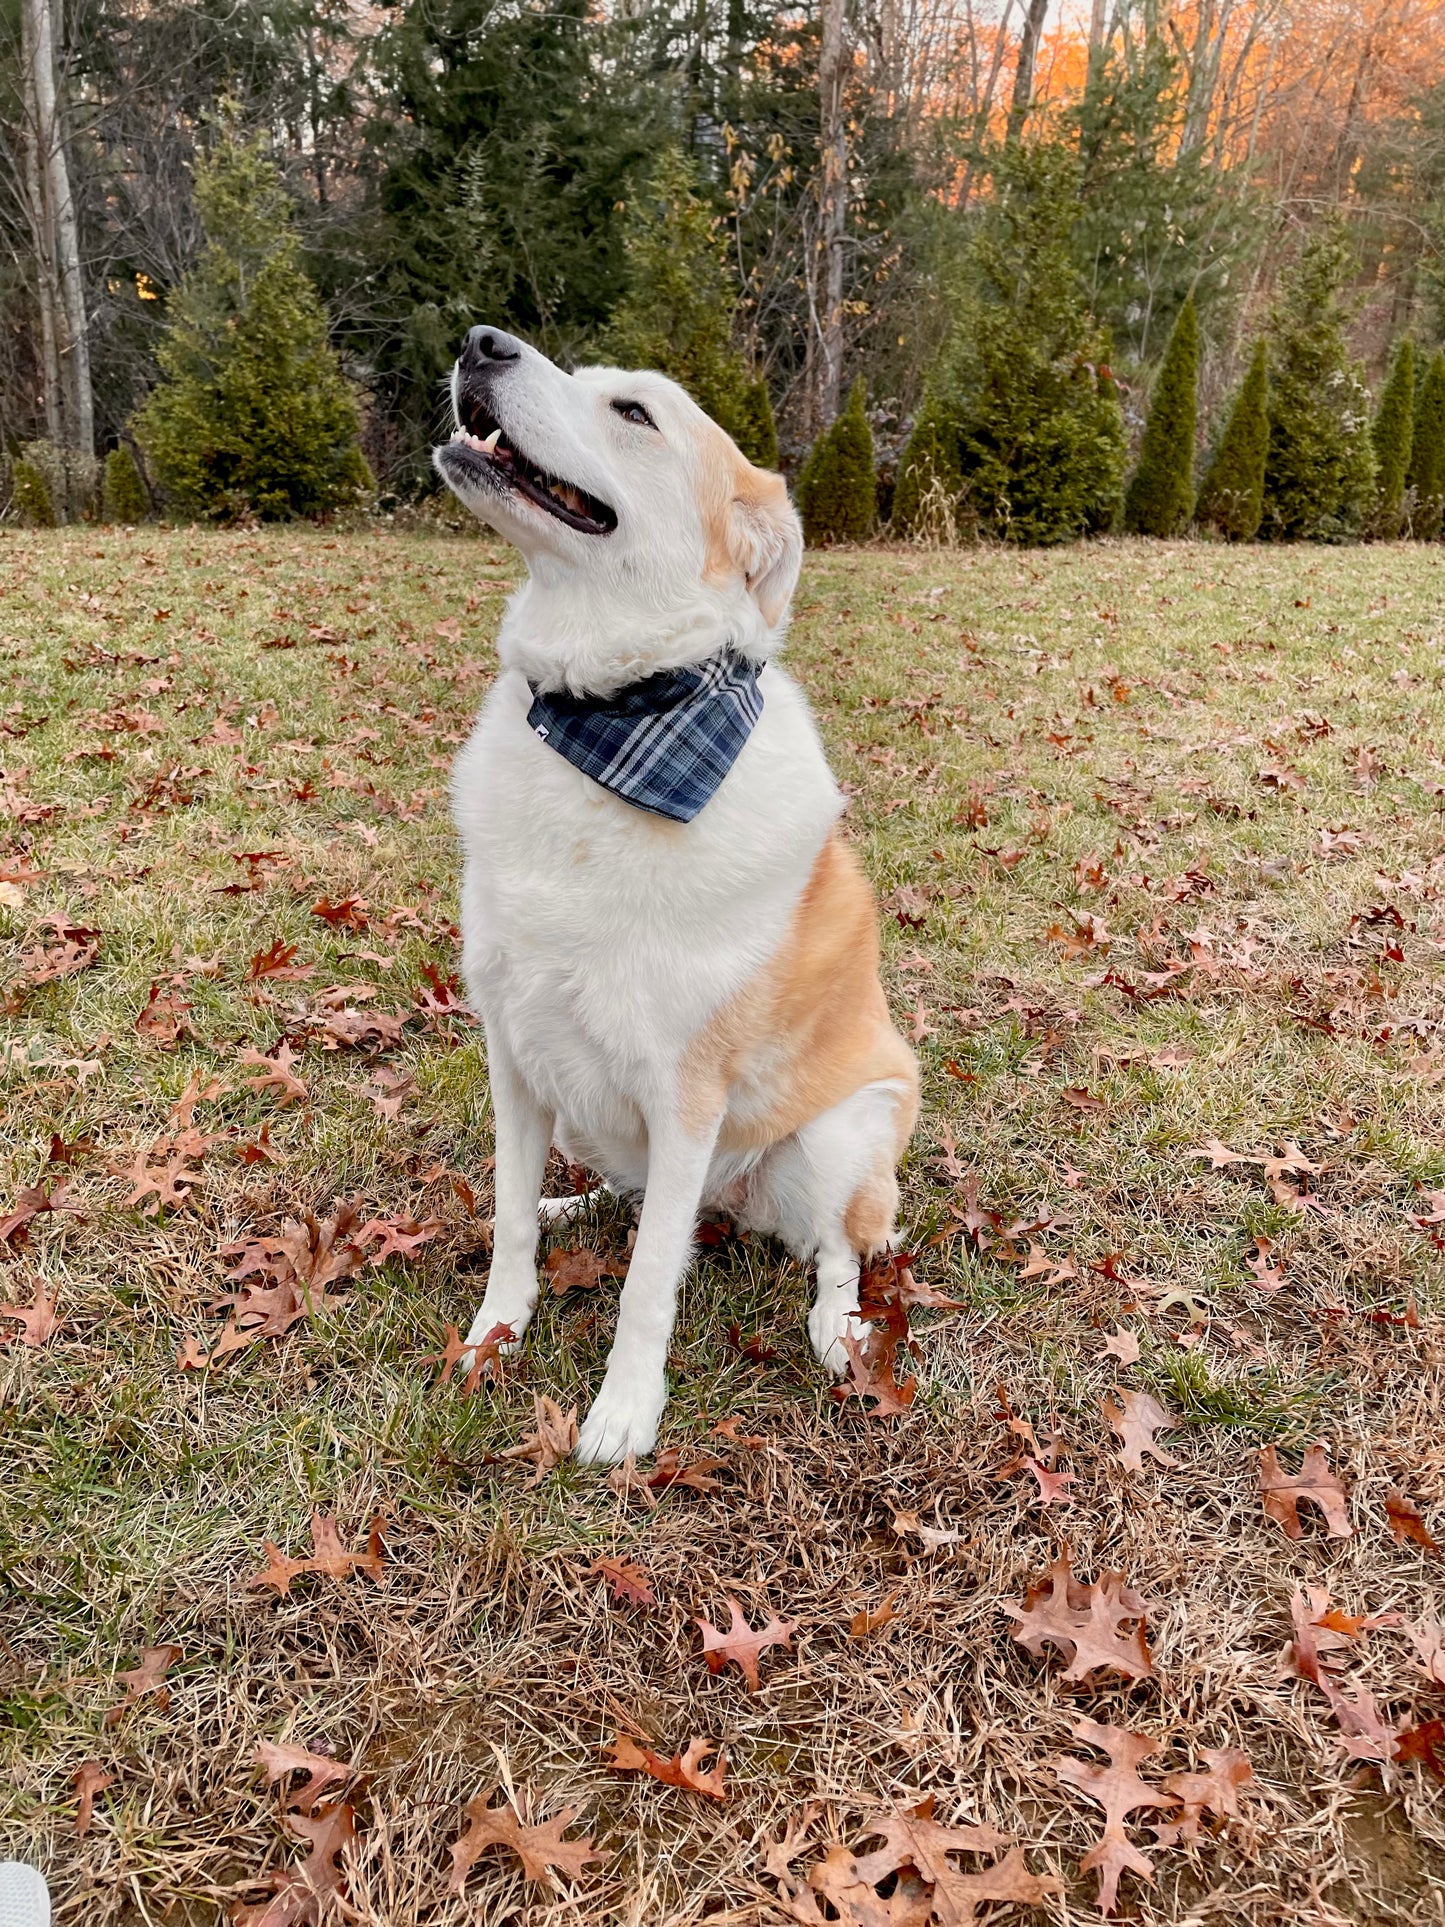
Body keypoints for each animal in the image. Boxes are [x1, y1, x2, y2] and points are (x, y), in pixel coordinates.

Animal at [435, 327, 920, 1456]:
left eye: (633, 412)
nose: (481, 341)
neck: (611, 718)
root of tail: (733, 1205)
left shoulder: (684, 1093)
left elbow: (650, 1280)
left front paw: (623, 1414)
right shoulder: (510, 1052)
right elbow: (509, 1218)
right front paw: (494, 1335)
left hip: (840, 1133)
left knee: (831, 1250)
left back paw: (835, 1330)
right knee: (629, 1195)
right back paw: (576, 1209)